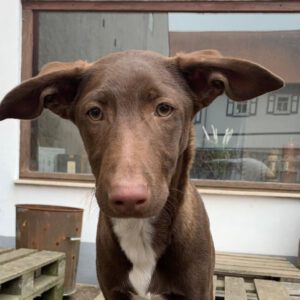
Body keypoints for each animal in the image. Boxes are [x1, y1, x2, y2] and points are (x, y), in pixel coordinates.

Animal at [0, 50, 282, 298]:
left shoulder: (198, 291)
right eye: (94, 112)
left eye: (164, 109)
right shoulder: (112, 291)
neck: (139, 232)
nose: (128, 198)